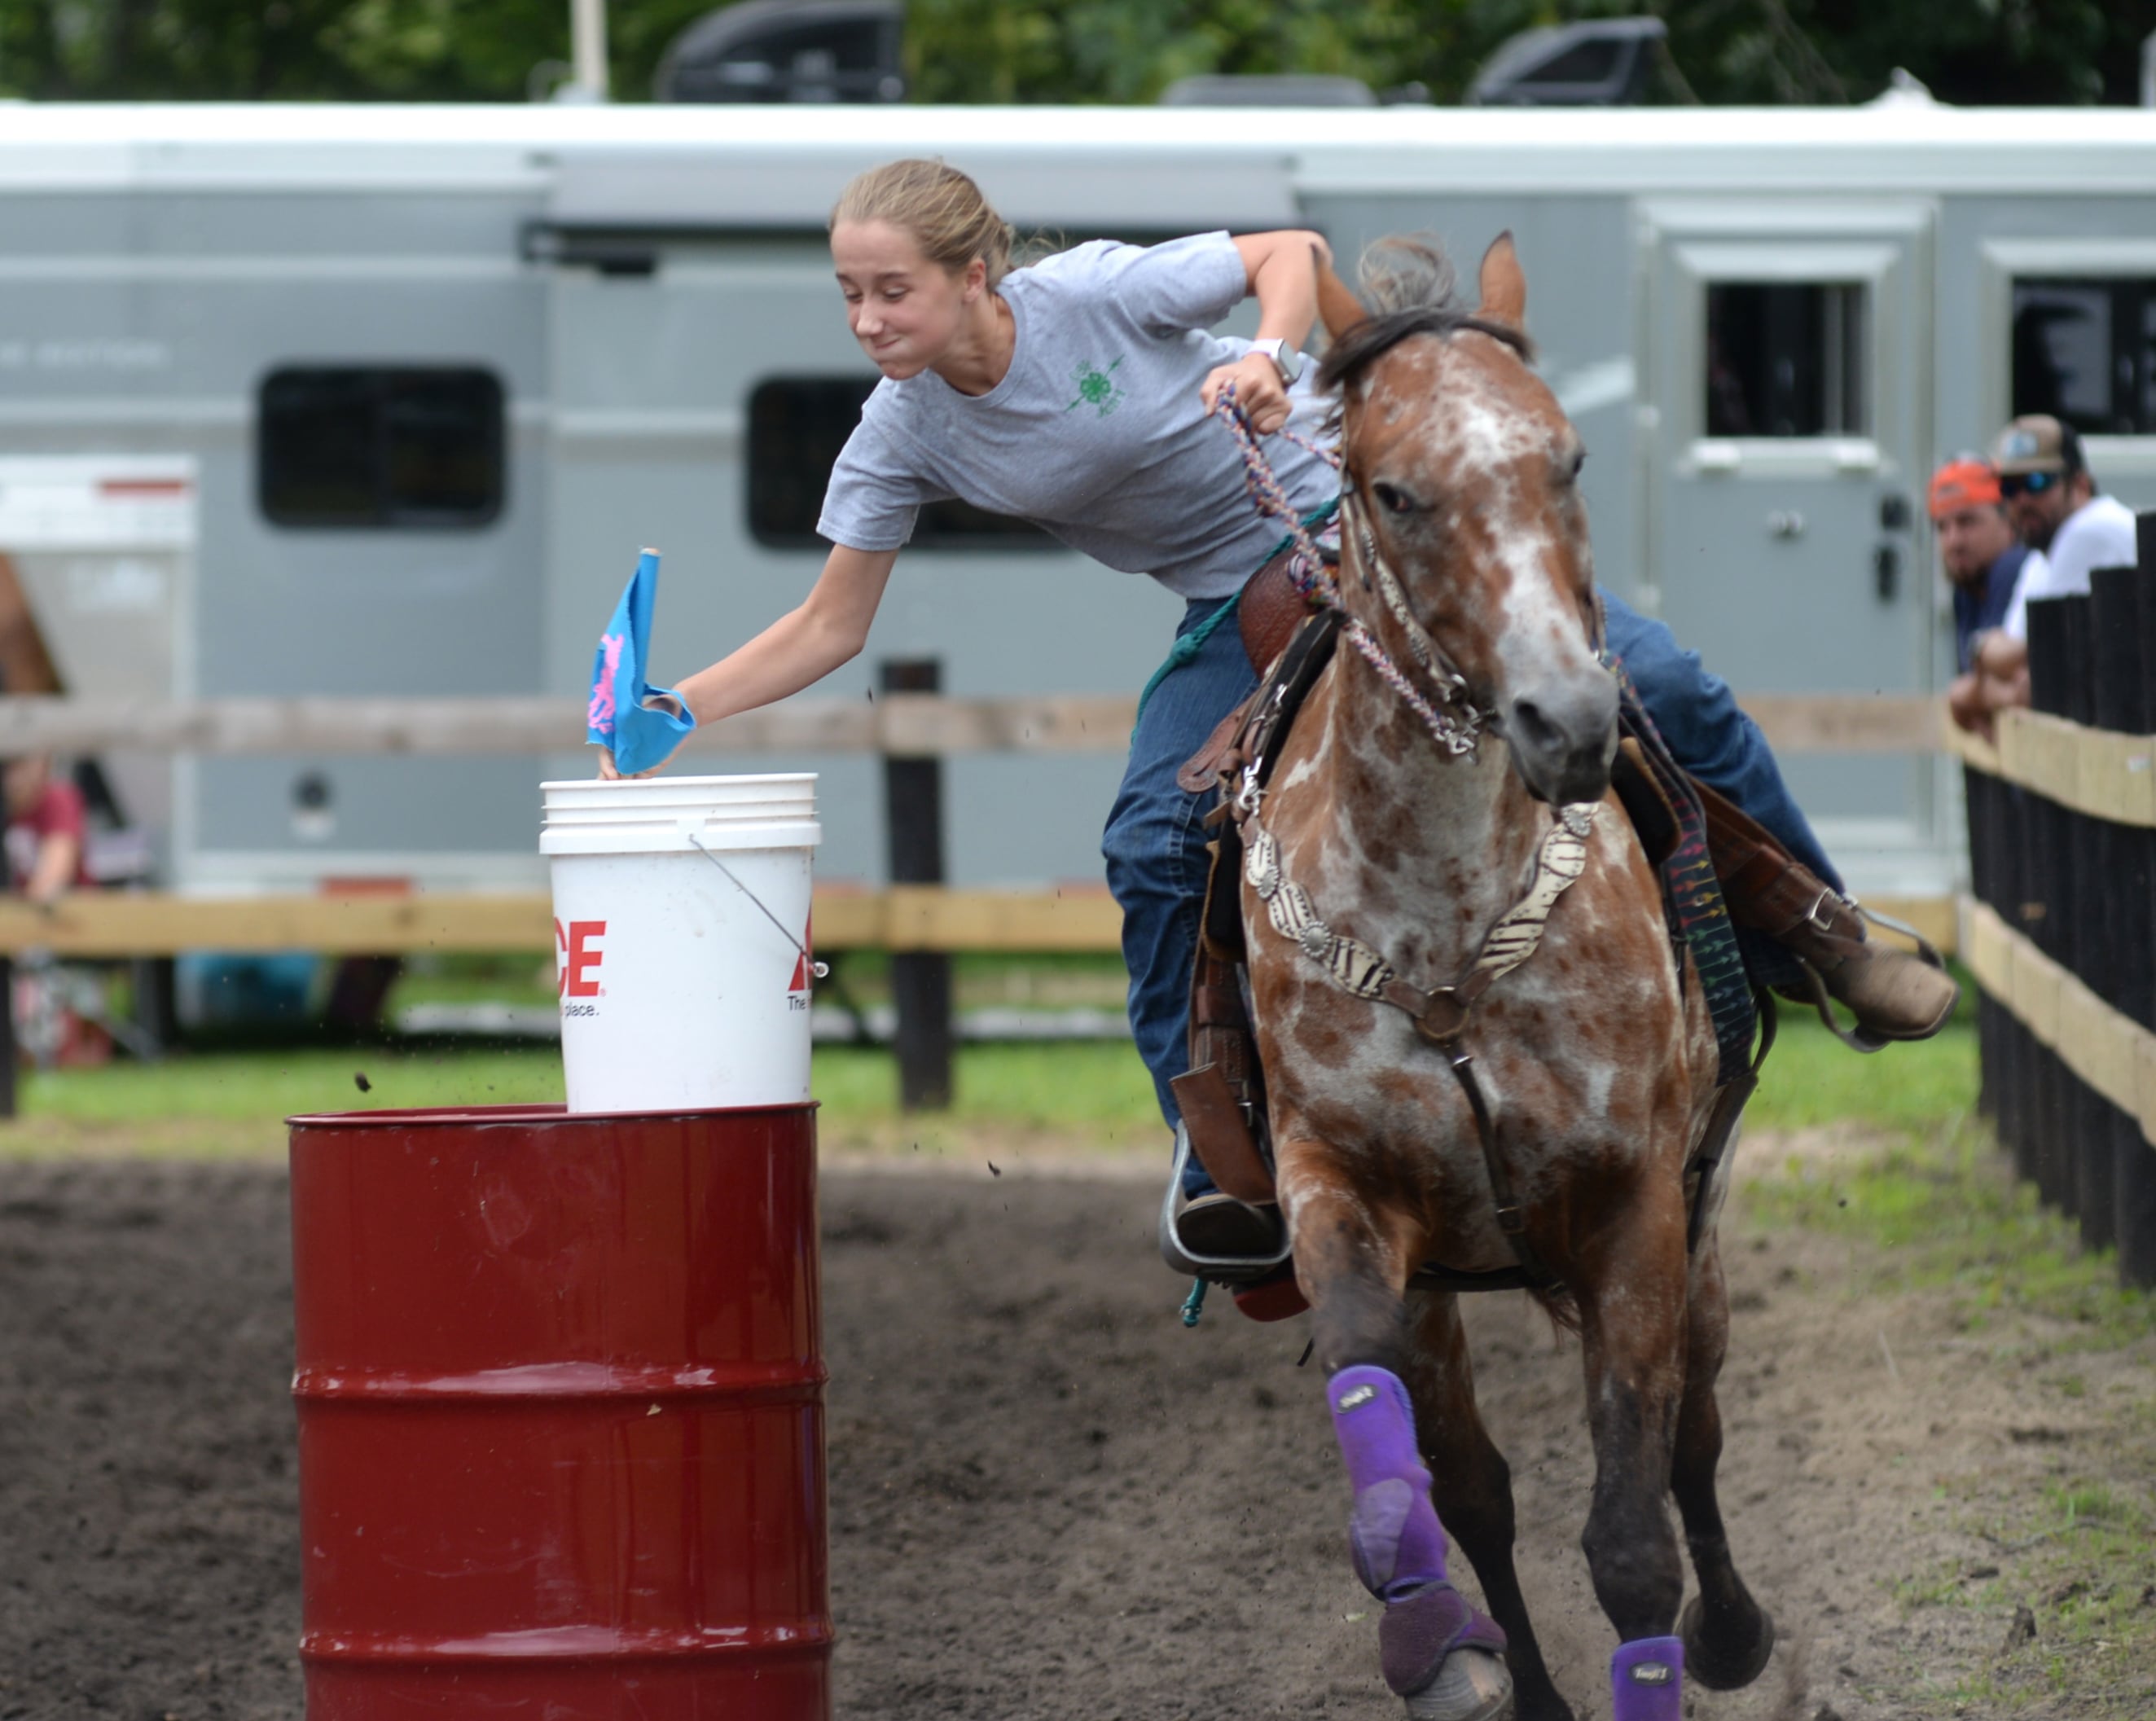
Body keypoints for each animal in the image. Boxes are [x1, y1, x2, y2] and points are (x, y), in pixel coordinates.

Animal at [1250, 232, 1785, 1721]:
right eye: (1391, 488)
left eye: (1568, 460)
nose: (1568, 717)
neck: (1443, 939)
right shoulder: (1341, 1182)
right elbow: (1387, 1413)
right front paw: (1428, 1633)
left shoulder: (1632, 1205)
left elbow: (1631, 1534)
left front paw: (1693, 1637)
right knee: (1476, 1484)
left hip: (1696, 1232)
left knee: (1696, 1435)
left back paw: (1733, 1630)